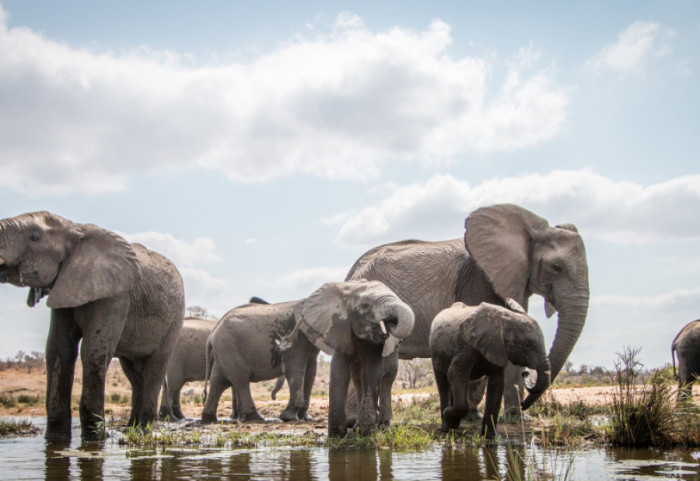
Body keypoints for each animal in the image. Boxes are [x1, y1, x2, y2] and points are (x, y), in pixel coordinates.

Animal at [0, 210, 186, 438]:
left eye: (35, 237)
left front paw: (96, 439)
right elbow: (59, 349)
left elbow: (92, 351)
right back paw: (129, 429)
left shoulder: (116, 296)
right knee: (134, 374)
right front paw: (56, 439)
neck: (74, 228)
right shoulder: (64, 287)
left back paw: (143, 430)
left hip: (174, 320)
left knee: (154, 369)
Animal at [290, 280, 416, 436]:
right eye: (365, 306)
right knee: (357, 378)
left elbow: (371, 372)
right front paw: (337, 436)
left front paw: (367, 433)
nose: (390, 323)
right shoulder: (339, 329)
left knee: (386, 375)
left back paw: (379, 426)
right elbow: (340, 371)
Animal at [430, 300, 548, 438]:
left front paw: (490, 438)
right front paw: (449, 417)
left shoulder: (498, 348)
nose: (525, 373)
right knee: (443, 384)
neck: (506, 319)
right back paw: (446, 428)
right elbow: (454, 373)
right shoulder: (465, 345)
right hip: (436, 353)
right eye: (527, 345)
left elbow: (497, 384)